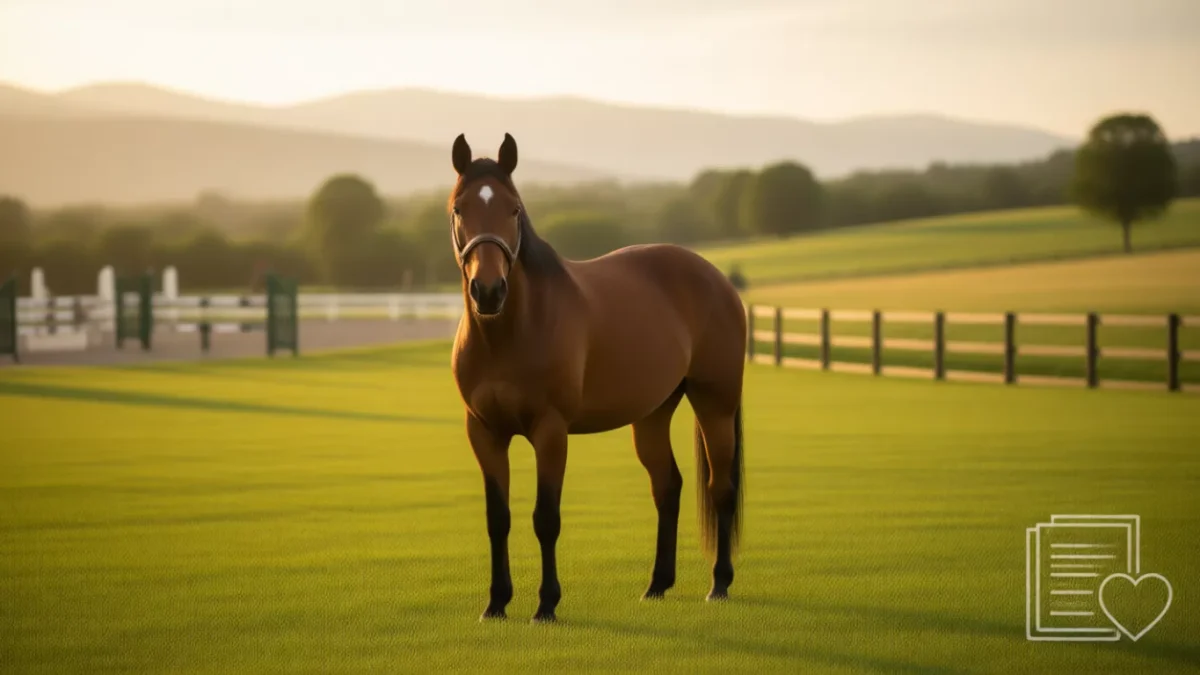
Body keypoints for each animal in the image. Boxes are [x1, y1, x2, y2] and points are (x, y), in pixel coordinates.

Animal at [448, 133, 747, 623]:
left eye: (514, 209)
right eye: (459, 208)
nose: (488, 291)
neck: (509, 332)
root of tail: (717, 278)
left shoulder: (551, 431)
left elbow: (545, 518)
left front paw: (546, 605)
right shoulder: (484, 432)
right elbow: (498, 519)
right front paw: (496, 603)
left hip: (714, 405)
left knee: (720, 487)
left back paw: (719, 585)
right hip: (652, 414)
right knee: (668, 487)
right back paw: (657, 585)